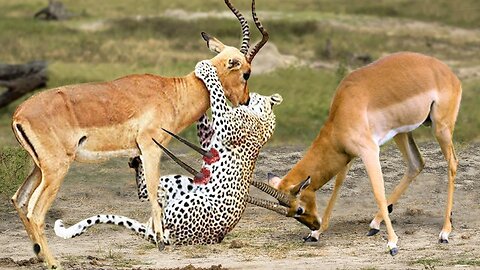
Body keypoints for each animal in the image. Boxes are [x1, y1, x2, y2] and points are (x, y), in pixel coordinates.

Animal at [54, 60, 284, 246]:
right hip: (181, 182)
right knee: (150, 197)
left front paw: (205, 68)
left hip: (182, 197)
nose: (247, 98)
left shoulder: (227, 124)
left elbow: (217, 94)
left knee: (147, 195)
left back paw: (137, 161)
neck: (267, 118)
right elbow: (206, 116)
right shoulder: (210, 137)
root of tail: (176, 238)